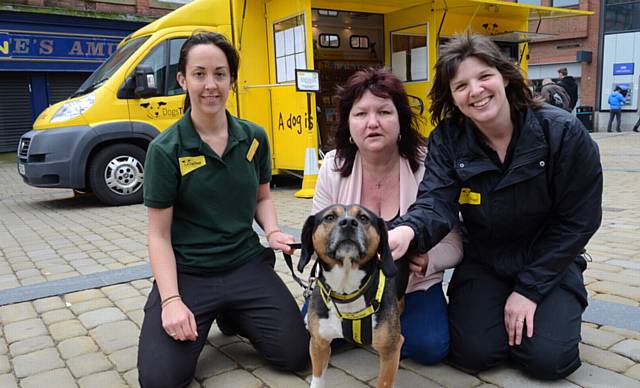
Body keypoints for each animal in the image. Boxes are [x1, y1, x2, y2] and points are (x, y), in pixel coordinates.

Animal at [298, 205, 408, 386]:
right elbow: (317, 380)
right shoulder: (319, 343)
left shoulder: (389, 351)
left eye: (363, 218)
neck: (347, 292)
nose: (349, 222)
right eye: (329, 217)